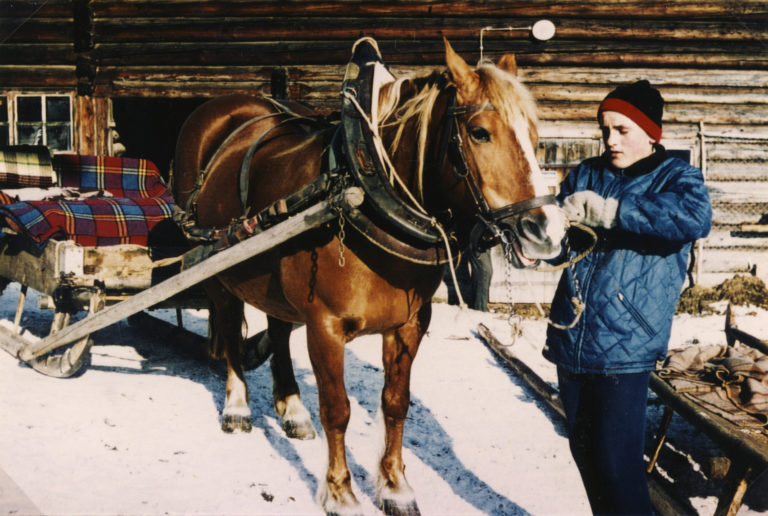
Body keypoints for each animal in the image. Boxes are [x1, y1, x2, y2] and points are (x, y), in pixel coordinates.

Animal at [174, 39, 568, 516]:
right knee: (230, 325)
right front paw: (341, 492)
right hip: (216, 264)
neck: (365, 192)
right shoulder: (325, 326)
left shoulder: (410, 324)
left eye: (534, 133)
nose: (547, 230)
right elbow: (337, 409)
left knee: (279, 329)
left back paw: (292, 409)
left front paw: (395, 487)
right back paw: (236, 406)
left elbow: (395, 404)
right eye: (479, 133)